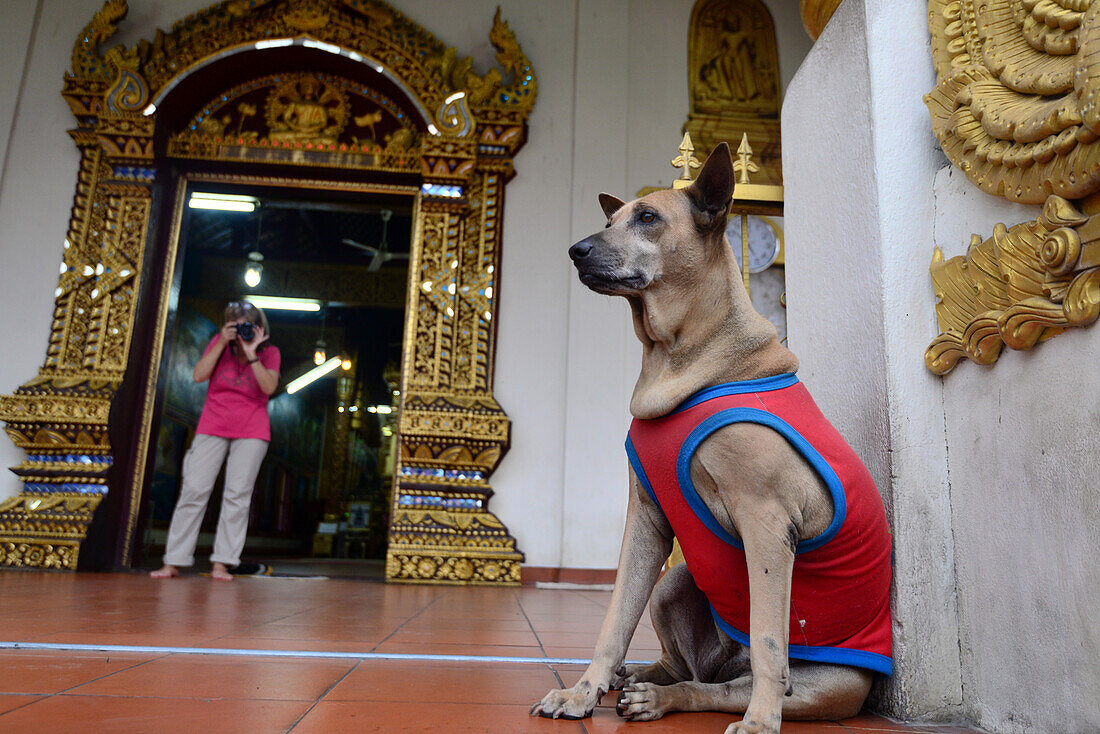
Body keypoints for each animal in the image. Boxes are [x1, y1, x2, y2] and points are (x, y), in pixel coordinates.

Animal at [532, 143, 893, 734]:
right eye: (609, 222)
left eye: (648, 217)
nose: (576, 251)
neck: (677, 355)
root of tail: (722, 659)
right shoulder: (646, 522)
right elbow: (615, 618)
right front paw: (583, 691)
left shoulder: (766, 524)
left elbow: (769, 639)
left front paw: (761, 721)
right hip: (675, 581)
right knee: (687, 670)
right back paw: (639, 681)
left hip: (822, 685)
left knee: (720, 687)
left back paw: (673, 700)